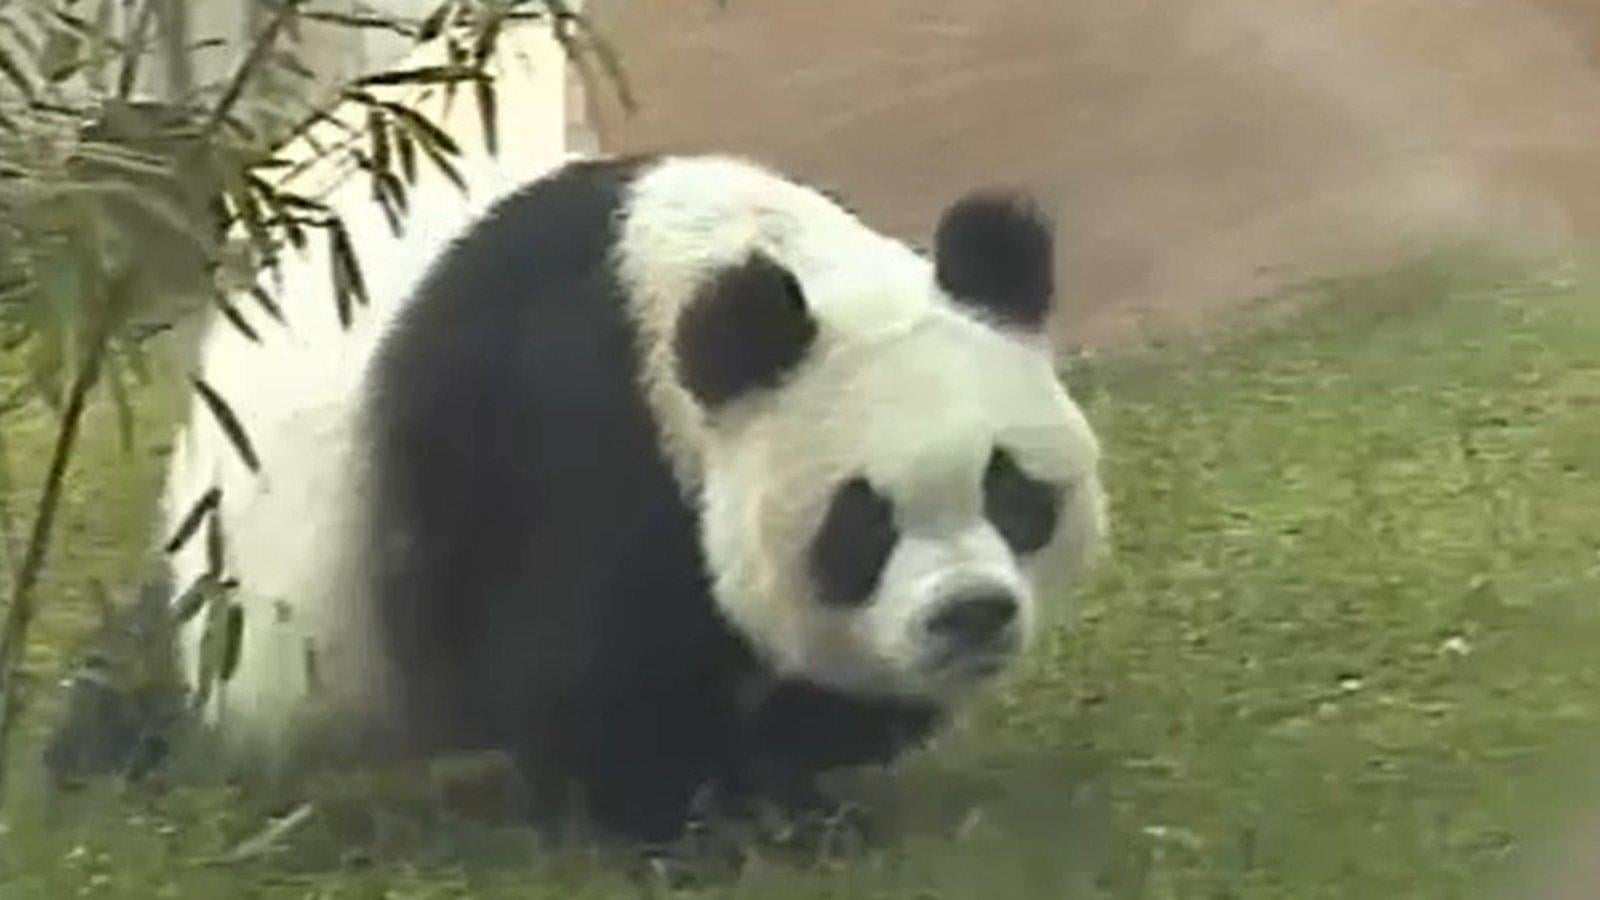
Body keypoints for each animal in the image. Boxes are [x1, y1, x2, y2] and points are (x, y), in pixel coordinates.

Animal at [161, 153, 1108, 843]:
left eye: (1013, 493)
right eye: (860, 526)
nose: (971, 615)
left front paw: (791, 785)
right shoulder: (566, 430)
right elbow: (587, 670)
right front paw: (693, 827)